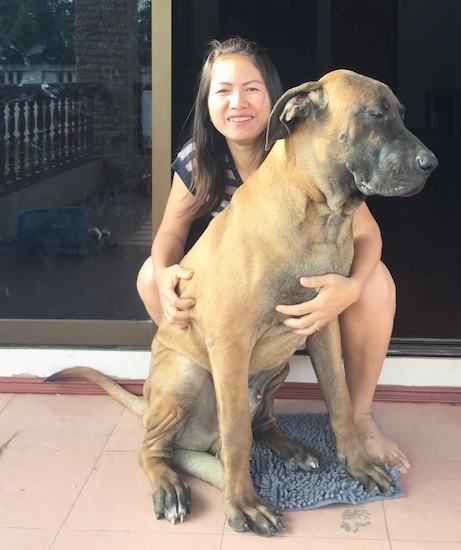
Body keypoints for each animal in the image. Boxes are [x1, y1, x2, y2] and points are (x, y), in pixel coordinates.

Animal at [48, 70, 436, 540]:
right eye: (374, 115)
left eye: (399, 113)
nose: (432, 164)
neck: (318, 211)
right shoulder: (230, 344)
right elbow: (236, 435)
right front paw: (244, 505)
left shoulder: (324, 326)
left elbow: (340, 401)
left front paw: (358, 463)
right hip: (186, 375)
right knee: (155, 449)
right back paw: (170, 486)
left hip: (279, 365)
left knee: (261, 421)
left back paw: (289, 447)